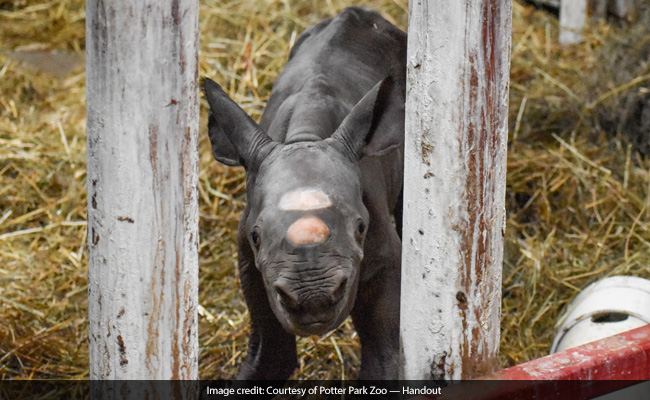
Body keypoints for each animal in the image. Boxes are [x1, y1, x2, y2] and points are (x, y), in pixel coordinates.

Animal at [203, 6, 406, 380]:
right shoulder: (251, 264)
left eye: (361, 227)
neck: (305, 137)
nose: (314, 298)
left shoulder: (384, 257)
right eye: (255, 236)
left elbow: (384, 354)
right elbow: (270, 354)